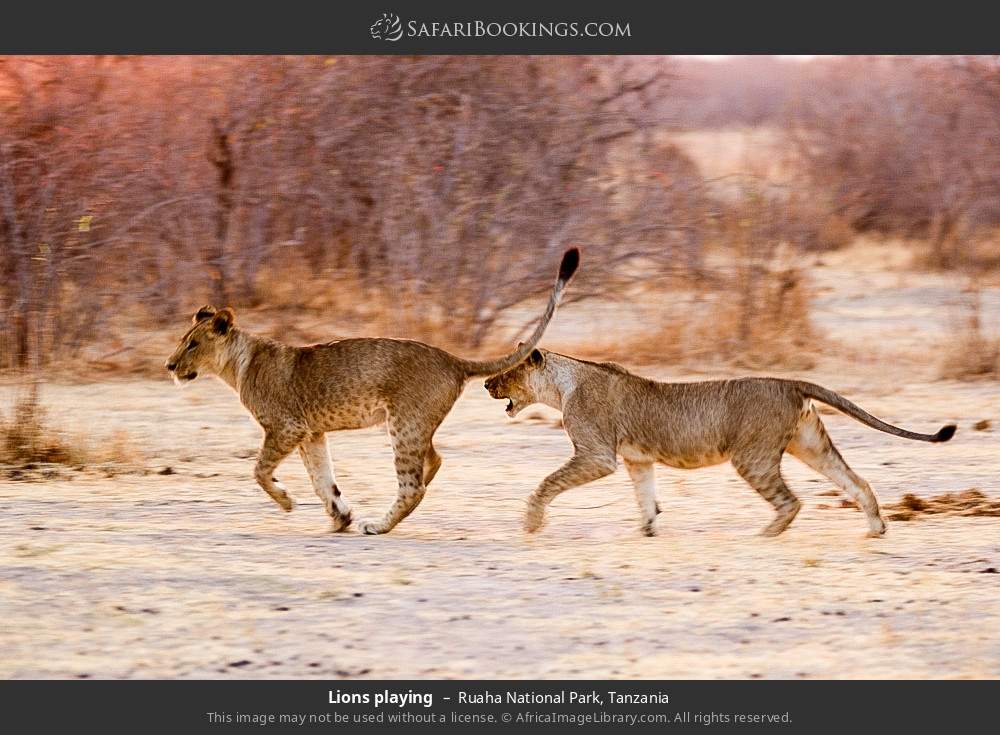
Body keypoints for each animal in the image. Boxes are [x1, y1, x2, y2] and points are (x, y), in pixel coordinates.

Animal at [165, 248, 579, 535]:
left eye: (192, 344)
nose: (169, 365)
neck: (237, 364)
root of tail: (451, 359)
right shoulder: (311, 433)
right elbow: (323, 479)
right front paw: (340, 517)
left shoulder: (286, 428)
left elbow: (260, 471)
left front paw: (287, 503)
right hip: (413, 425)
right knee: (433, 462)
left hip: (403, 425)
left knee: (413, 485)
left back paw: (379, 526)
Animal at [485, 349, 956, 537]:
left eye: (506, 372)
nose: (487, 384)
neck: (562, 384)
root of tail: (788, 382)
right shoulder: (638, 460)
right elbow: (646, 497)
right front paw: (648, 530)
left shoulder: (597, 456)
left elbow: (547, 483)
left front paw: (531, 523)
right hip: (811, 444)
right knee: (856, 480)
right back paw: (876, 528)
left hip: (752, 457)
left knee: (791, 501)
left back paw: (764, 535)